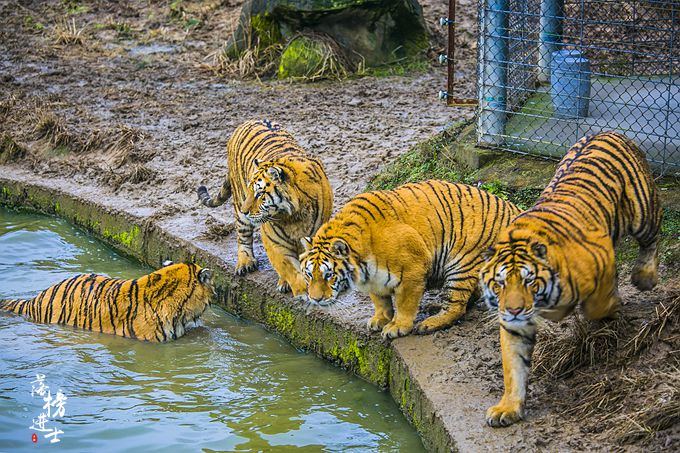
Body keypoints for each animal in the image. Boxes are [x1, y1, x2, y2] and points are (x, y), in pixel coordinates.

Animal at [195, 120, 334, 296]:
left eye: (259, 193)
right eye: (251, 191)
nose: (246, 211)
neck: (295, 216)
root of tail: (249, 120)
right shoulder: (274, 241)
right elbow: (289, 269)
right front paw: (301, 289)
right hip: (239, 204)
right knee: (243, 235)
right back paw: (245, 263)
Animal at [298, 178, 520, 338]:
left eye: (329, 275)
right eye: (309, 275)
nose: (315, 299)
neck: (362, 262)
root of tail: (514, 209)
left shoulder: (413, 271)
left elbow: (405, 304)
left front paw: (397, 327)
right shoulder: (373, 280)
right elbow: (380, 301)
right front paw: (379, 319)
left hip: (462, 263)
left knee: (456, 305)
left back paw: (430, 323)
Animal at [480, 132, 660, 428]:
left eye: (529, 281)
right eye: (500, 283)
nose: (514, 309)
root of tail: (609, 132)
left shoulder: (602, 254)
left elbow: (598, 304)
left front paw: (610, 309)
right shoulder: (515, 326)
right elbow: (513, 367)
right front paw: (508, 408)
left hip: (642, 212)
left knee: (651, 239)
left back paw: (644, 277)